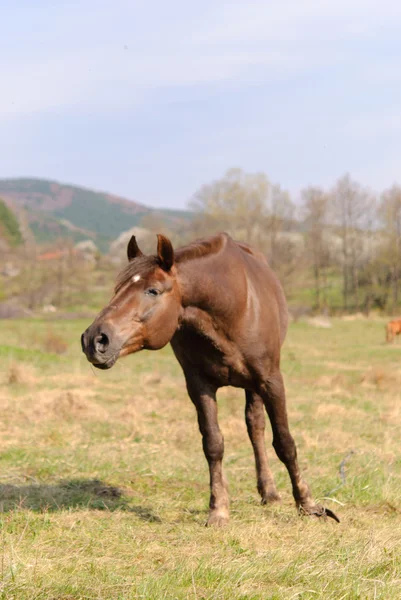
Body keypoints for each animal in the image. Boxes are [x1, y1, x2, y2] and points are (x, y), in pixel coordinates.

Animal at [80, 234, 338, 524]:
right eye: (118, 289)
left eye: (153, 291)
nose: (94, 339)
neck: (231, 307)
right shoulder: (199, 385)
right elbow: (213, 444)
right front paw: (218, 509)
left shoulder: (271, 381)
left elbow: (284, 442)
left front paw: (308, 504)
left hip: (256, 386)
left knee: (256, 427)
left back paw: (270, 492)